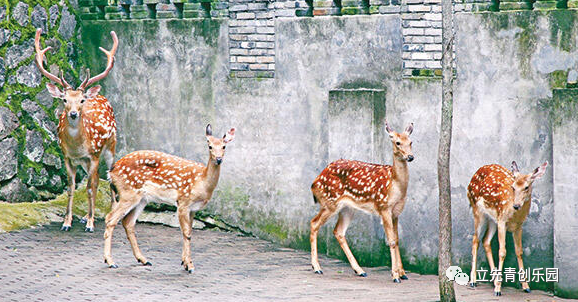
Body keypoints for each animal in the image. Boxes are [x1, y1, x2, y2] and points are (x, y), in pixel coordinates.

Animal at [34, 27, 119, 231]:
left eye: (81, 100)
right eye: (65, 99)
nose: (73, 114)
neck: (77, 146)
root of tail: (100, 96)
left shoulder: (93, 155)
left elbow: (88, 187)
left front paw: (90, 224)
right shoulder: (67, 157)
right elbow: (71, 187)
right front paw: (67, 222)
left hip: (110, 147)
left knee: (106, 177)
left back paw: (109, 215)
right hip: (86, 161)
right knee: (96, 179)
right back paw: (87, 216)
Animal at [104, 124, 236, 270]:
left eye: (224, 146)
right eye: (210, 146)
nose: (218, 159)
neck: (202, 182)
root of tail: (111, 171)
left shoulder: (193, 209)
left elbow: (189, 232)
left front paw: (185, 262)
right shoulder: (183, 202)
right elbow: (186, 233)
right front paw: (189, 266)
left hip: (142, 199)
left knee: (128, 222)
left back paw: (143, 259)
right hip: (128, 193)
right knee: (110, 218)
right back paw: (110, 261)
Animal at [308, 121, 412, 282]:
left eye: (411, 142)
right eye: (397, 142)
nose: (410, 157)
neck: (395, 185)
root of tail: (315, 181)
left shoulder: (396, 211)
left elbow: (397, 239)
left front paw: (402, 273)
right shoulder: (383, 207)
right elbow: (391, 240)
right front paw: (395, 275)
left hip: (347, 208)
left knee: (338, 231)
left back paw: (359, 270)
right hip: (330, 202)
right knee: (314, 223)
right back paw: (317, 267)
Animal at [466, 162, 548, 296]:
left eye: (526, 187)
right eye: (513, 187)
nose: (516, 205)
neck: (514, 215)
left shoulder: (518, 225)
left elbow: (519, 252)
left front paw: (526, 286)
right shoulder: (502, 221)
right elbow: (502, 252)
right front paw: (498, 290)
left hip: (493, 219)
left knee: (485, 241)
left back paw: (494, 281)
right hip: (477, 210)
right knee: (475, 239)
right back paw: (473, 281)